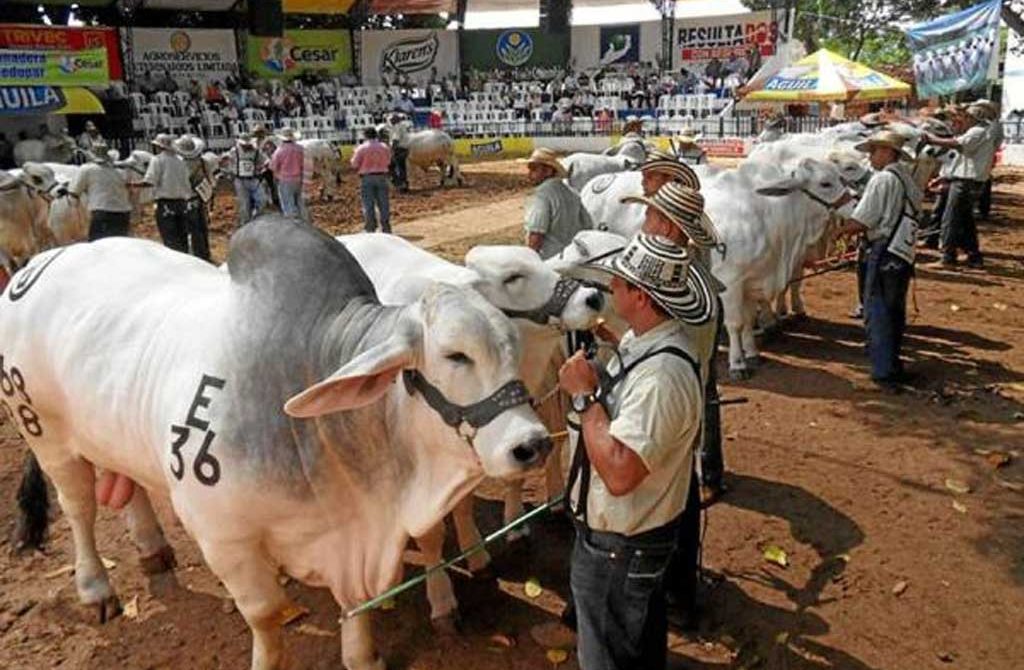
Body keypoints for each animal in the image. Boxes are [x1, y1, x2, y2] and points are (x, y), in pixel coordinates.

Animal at [4, 216, 552, 670]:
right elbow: (266, 614)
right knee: (78, 509)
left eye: (512, 345)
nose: (532, 444)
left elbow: (356, 605)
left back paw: (153, 548)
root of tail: (37, 264)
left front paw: (363, 657)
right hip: (44, 433)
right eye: (456, 355)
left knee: (128, 484)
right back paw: (96, 588)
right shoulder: (223, 536)